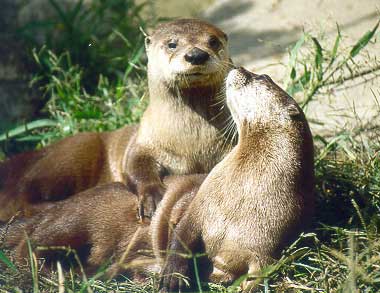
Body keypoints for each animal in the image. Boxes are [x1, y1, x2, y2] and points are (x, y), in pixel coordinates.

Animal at [0, 18, 233, 221]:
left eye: (213, 41)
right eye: (172, 44)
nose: (196, 55)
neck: (192, 143)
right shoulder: (142, 143)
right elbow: (134, 168)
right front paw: (152, 197)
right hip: (72, 152)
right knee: (25, 197)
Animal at [158, 67, 314, 290]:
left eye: (264, 77)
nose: (240, 68)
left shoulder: (265, 251)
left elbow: (260, 276)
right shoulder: (199, 207)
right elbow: (181, 236)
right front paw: (173, 276)